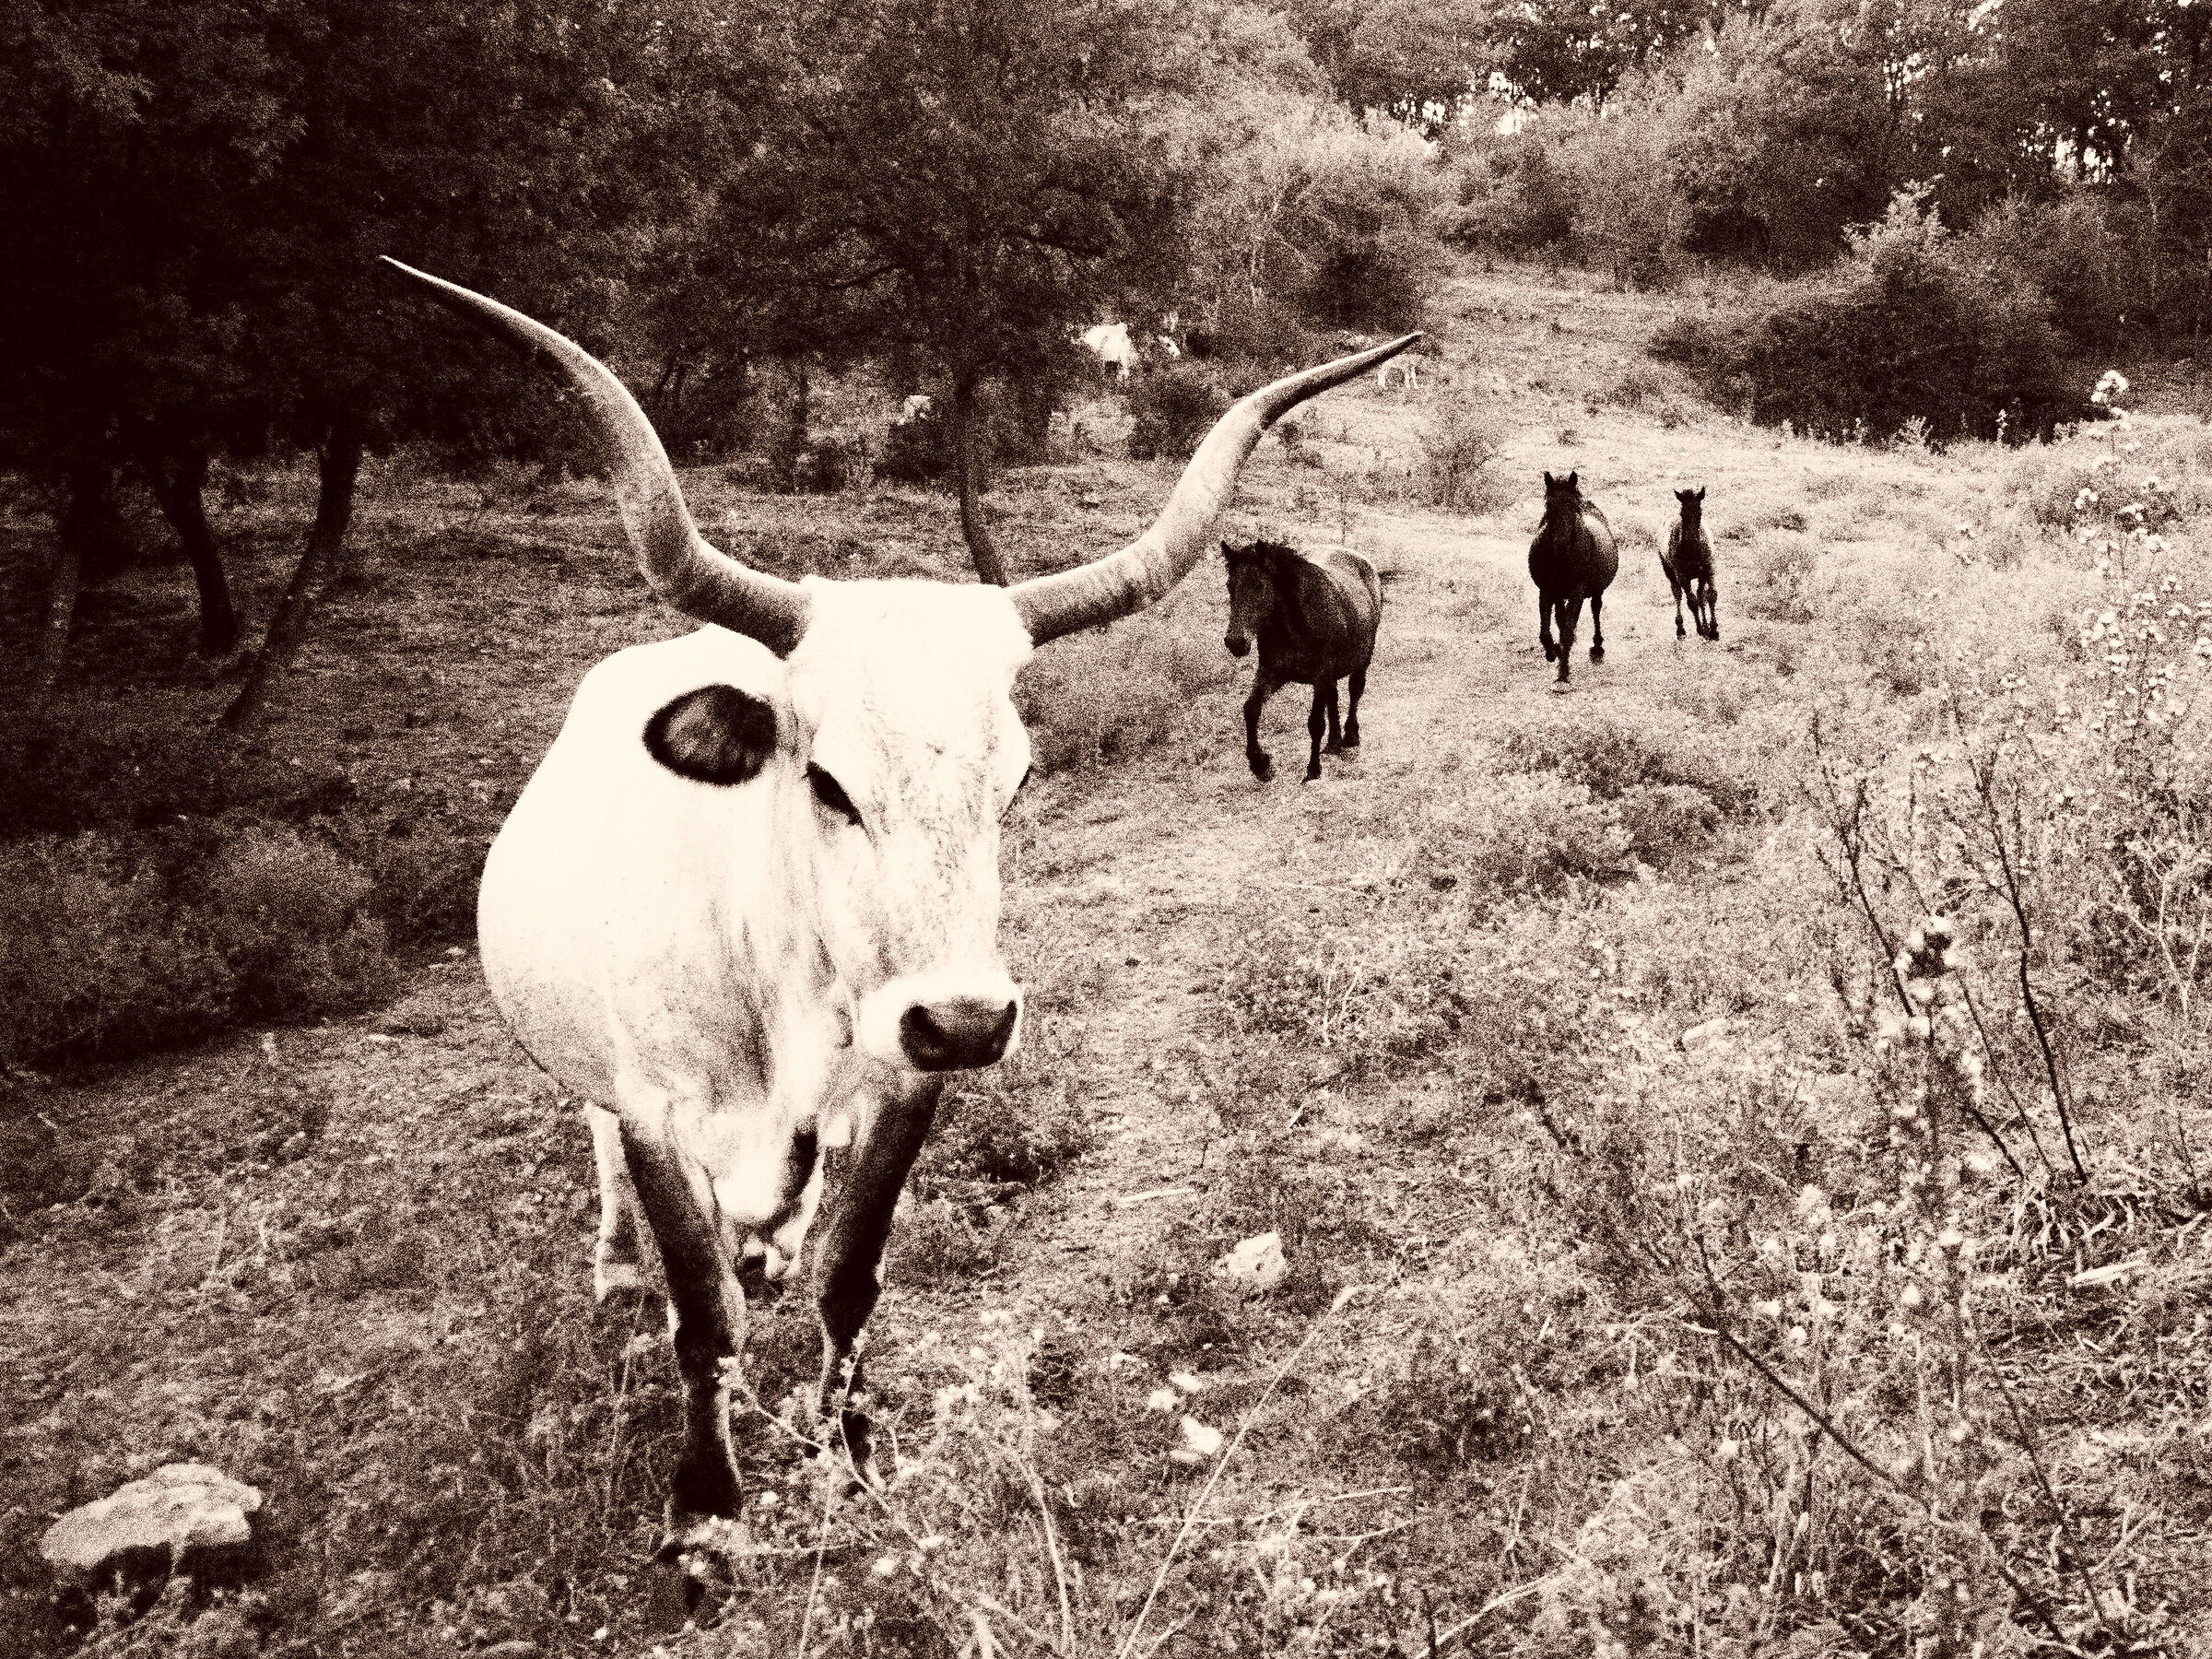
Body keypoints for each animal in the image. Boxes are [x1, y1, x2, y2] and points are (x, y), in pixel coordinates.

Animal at [1221, 538, 1382, 783]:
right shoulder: (1272, 672)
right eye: (1230, 586)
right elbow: (1251, 709)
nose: (1235, 641)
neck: (1297, 625)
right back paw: (1333, 741)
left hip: (1362, 659)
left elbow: (1315, 723)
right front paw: (1260, 763)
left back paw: (1350, 735)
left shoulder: (1320, 676)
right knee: (1333, 698)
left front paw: (1313, 769)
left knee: (1355, 690)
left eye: (1258, 585)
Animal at [1528, 470, 1618, 686]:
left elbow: (1568, 631)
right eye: (1549, 506)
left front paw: (1563, 674)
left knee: (1595, 610)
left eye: (1574, 508)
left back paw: (1597, 648)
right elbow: (1546, 632)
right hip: (1560, 593)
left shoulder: (1577, 591)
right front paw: (1553, 652)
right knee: (1561, 617)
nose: (1561, 545)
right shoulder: (1546, 590)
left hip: (1596, 591)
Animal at [1661, 486, 1720, 641]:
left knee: (1700, 596)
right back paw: (1680, 628)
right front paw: (1700, 629)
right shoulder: (1682, 575)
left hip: (1700, 575)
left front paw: (1713, 629)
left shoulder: (1708, 569)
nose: (1693, 541)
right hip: (1670, 572)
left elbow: (1711, 595)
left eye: (1700, 513)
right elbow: (1691, 601)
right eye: (1682, 514)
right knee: (1677, 594)